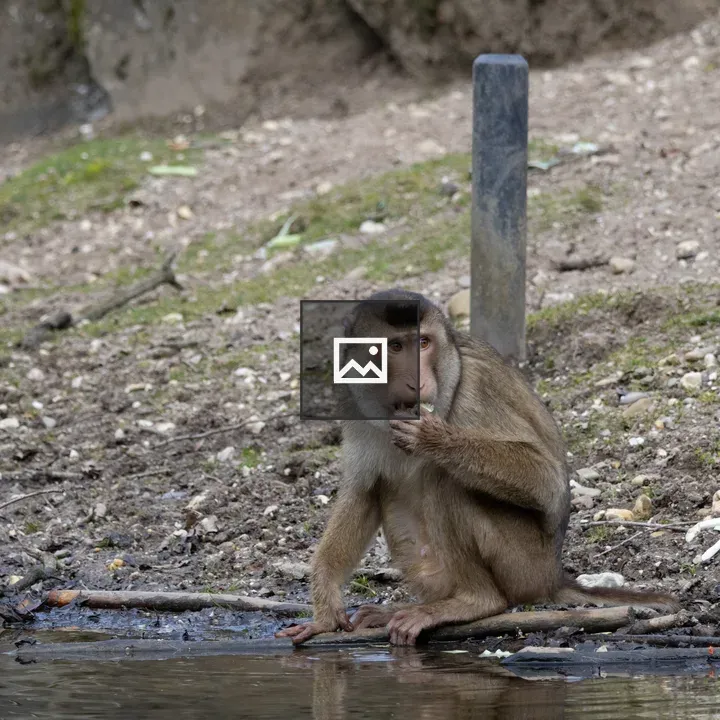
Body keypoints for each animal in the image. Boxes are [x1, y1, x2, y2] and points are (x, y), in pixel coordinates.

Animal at [277, 289, 679, 646]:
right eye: (395, 348)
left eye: (423, 343)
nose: (416, 381)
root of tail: (553, 577)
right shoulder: (354, 403)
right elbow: (362, 492)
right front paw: (325, 613)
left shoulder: (475, 389)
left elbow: (545, 477)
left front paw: (435, 440)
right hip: (434, 573)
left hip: (524, 567)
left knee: (448, 482)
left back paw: (475, 601)